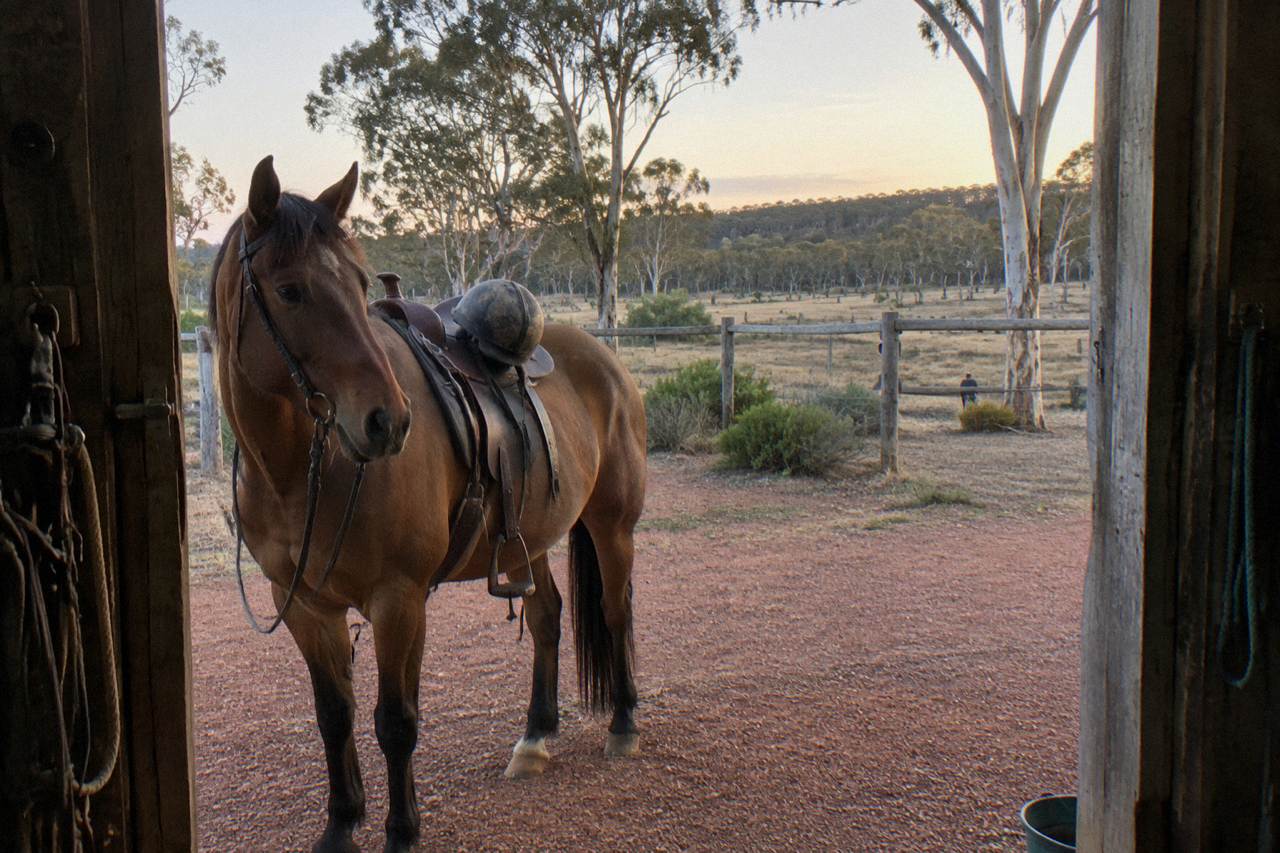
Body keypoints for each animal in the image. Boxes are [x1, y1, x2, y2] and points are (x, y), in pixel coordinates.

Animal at [210, 156, 647, 852]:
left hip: (613, 528)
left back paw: (625, 722)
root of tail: (605, 358)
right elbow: (334, 716)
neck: (302, 472)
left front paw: (402, 830)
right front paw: (341, 824)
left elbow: (396, 722)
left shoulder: (399, 599)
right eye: (290, 290)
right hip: (532, 536)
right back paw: (535, 735)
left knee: (614, 611)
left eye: (359, 284)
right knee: (548, 616)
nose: (387, 421)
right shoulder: (302, 604)